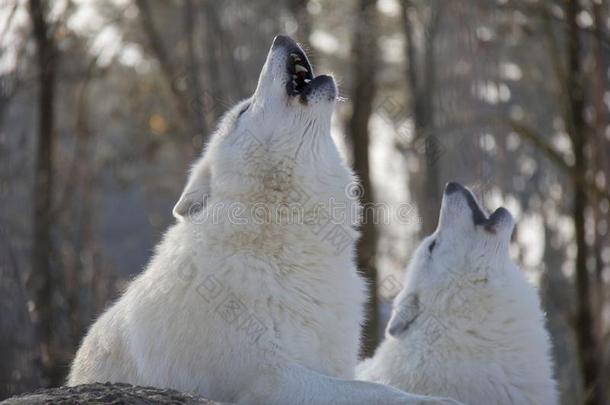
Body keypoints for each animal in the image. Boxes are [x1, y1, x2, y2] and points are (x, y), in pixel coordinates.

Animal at [69, 35, 458, 404]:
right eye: (243, 111)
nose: (281, 37)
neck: (281, 245)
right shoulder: (270, 381)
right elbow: (376, 390)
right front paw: (439, 400)